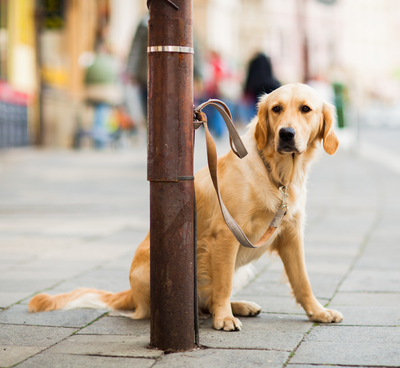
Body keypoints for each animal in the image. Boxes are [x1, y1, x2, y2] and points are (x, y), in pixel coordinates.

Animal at [28, 83, 342, 330]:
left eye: (305, 109)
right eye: (276, 108)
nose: (286, 134)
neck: (277, 174)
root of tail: (129, 292)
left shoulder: (290, 235)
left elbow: (303, 281)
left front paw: (318, 312)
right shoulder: (227, 234)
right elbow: (223, 285)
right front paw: (223, 319)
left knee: (208, 299)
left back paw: (239, 305)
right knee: (202, 299)